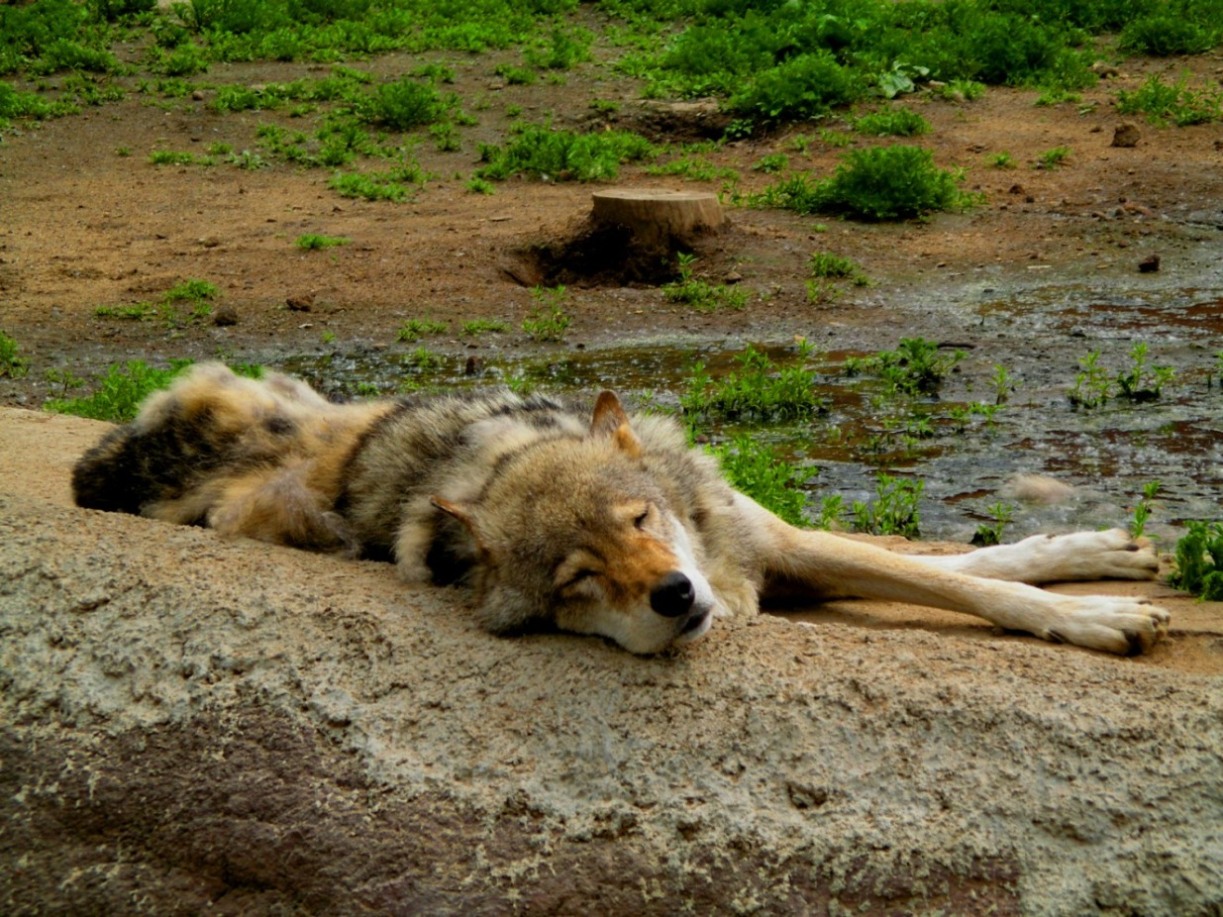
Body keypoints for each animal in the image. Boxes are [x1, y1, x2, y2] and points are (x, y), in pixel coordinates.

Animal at [71, 361, 1169, 655]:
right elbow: (956, 581)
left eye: (639, 522)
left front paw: (1095, 572)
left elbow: (965, 575)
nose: (675, 597)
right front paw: (1096, 613)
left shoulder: (770, 539)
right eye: (578, 580)